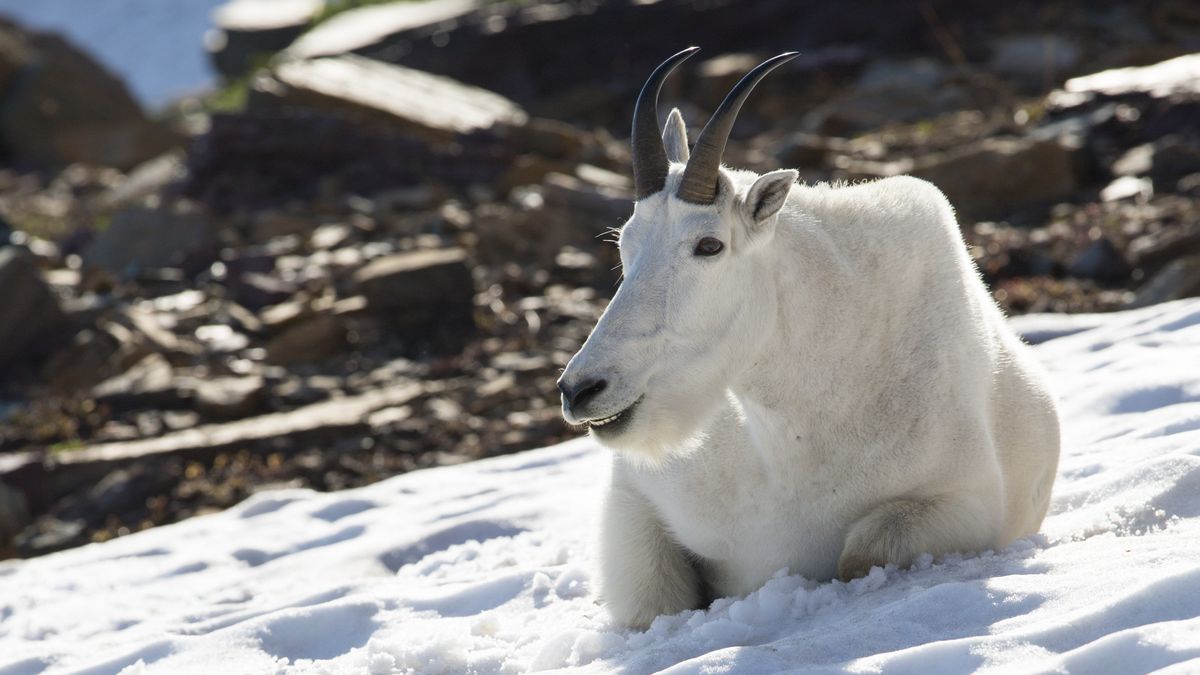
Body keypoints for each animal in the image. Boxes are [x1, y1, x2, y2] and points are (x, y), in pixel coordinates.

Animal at [556, 48, 1065, 629]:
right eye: (625, 242)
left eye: (709, 245)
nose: (581, 390)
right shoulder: (636, 495)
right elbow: (653, 603)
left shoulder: (968, 504)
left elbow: (859, 554)